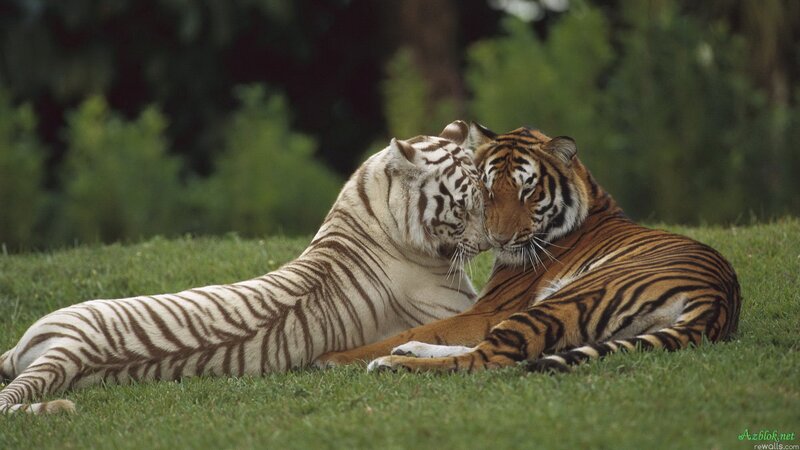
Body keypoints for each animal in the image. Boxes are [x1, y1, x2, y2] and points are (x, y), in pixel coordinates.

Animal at [316, 123, 741, 374]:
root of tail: (718, 300)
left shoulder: (491, 309)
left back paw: (389, 362)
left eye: (528, 191)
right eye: (487, 190)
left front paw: (335, 357)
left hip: (563, 300)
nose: (498, 239)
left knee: (488, 357)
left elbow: (425, 328)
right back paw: (404, 354)